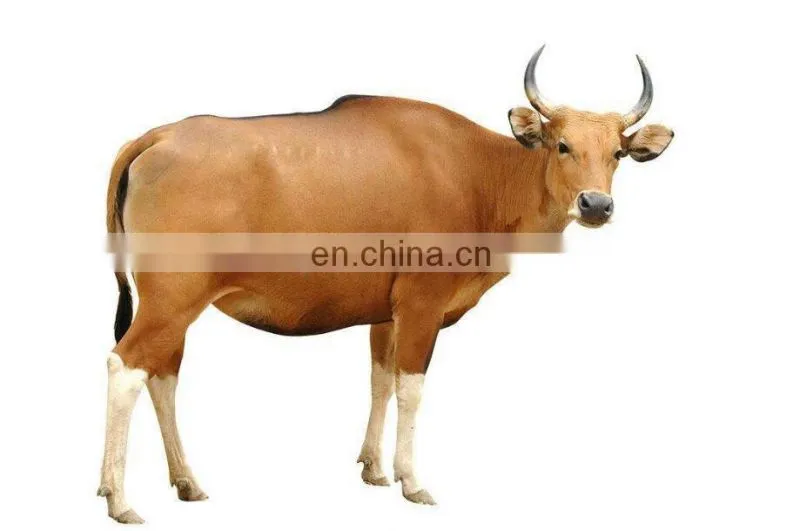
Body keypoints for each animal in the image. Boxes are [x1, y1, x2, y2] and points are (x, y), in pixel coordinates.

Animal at [98, 46, 673, 523]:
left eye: (617, 153)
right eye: (562, 145)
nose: (596, 204)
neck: (481, 174)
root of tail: (157, 136)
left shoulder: (384, 313)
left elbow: (379, 380)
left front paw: (374, 468)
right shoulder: (422, 304)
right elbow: (410, 389)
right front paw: (412, 480)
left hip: (175, 305)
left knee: (163, 375)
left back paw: (186, 481)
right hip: (172, 298)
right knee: (125, 367)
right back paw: (120, 499)